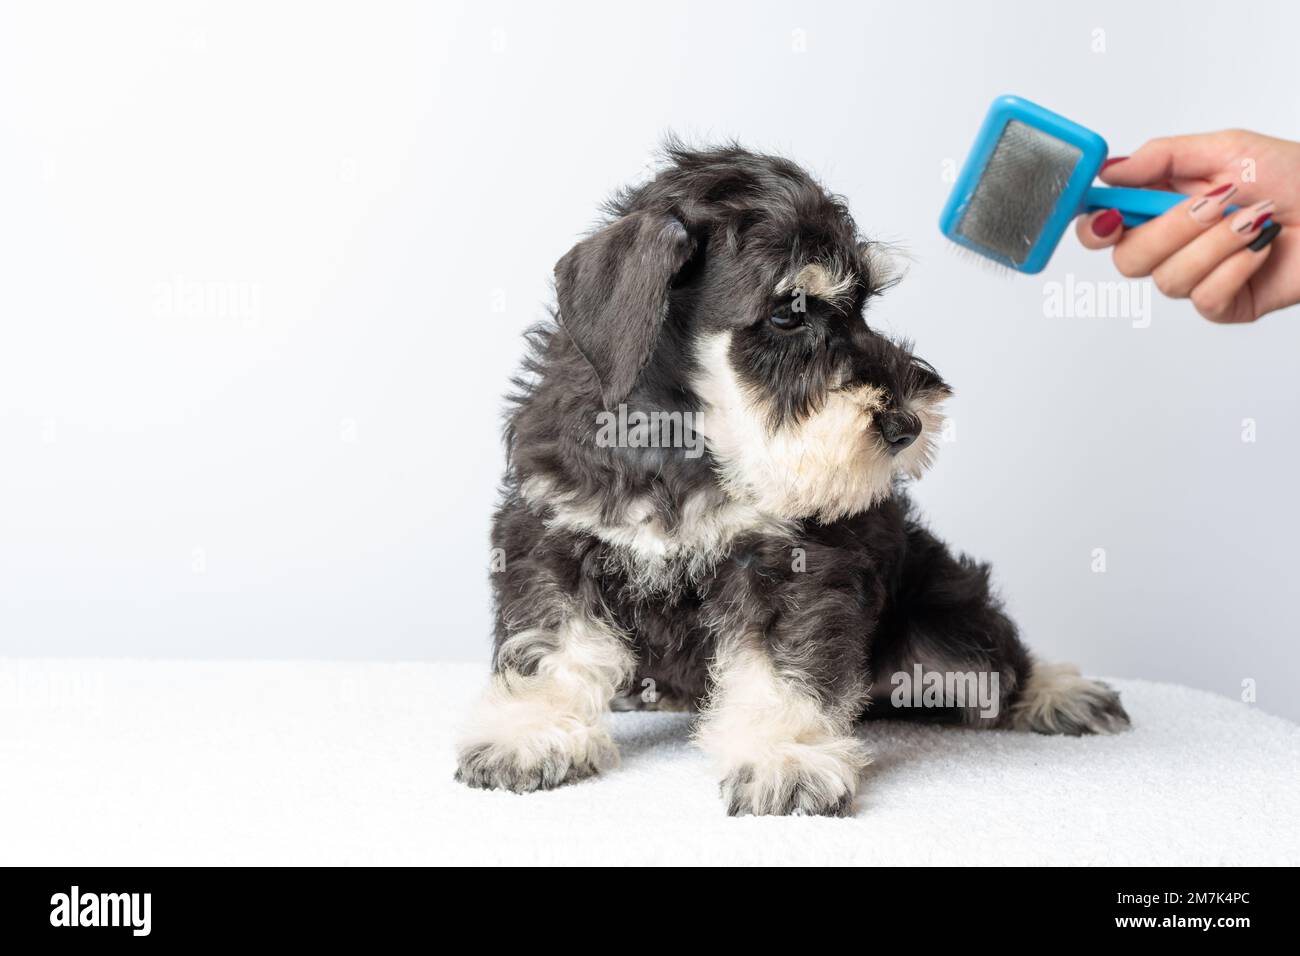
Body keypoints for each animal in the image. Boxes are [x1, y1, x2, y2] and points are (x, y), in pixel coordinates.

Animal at [454, 141, 1128, 816]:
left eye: (864, 307)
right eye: (787, 314)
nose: (909, 423)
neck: (689, 443)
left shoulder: (791, 565)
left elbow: (781, 668)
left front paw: (784, 759)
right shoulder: (553, 540)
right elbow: (552, 645)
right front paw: (531, 735)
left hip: (946, 629)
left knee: (999, 663)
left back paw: (1062, 693)